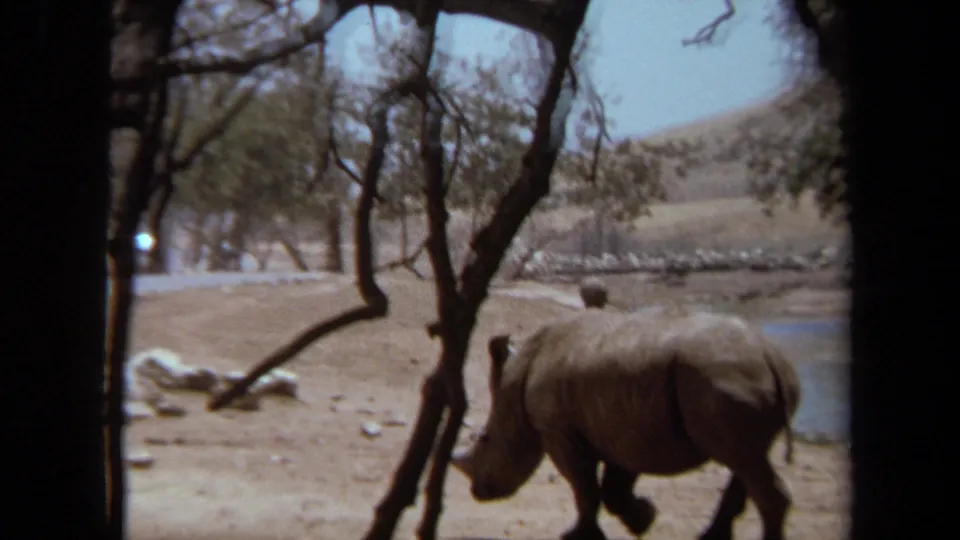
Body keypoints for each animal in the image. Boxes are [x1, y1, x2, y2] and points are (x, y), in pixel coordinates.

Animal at [451, 309, 801, 540]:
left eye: (485, 439)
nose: (478, 492)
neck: (516, 381)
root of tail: (769, 356)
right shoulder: (625, 425)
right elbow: (612, 487)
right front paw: (644, 519)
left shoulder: (558, 431)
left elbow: (584, 486)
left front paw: (579, 536)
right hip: (731, 380)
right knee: (746, 459)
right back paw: (708, 538)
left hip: (721, 379)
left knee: (744, 461)